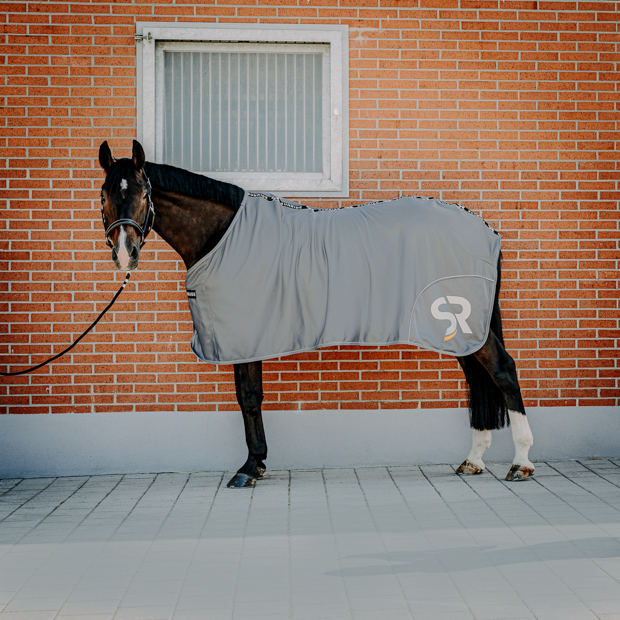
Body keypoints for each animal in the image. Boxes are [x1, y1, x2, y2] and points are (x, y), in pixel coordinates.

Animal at [97, 140, 532, 490]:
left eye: (142, 193)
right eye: (103, 195)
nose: (125, 254)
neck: (222, 235)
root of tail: (486, 229)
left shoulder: (245, 334)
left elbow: (248, 398)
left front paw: (249, 468)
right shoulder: (244, 338)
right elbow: (249, 397)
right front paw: (256, 464)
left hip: (463, 321)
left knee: (503, 370)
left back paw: (521, 463)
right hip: (460, 328)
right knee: (479, 376)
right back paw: (473, 460)